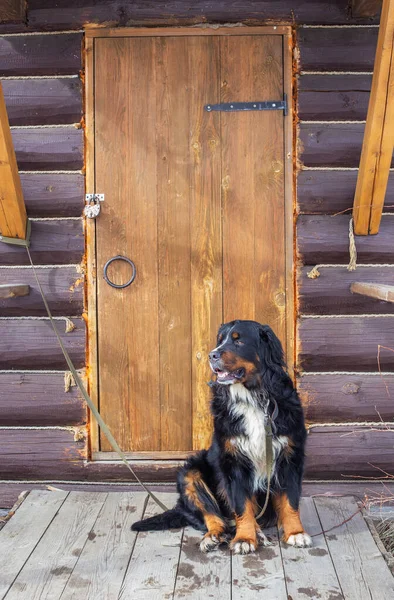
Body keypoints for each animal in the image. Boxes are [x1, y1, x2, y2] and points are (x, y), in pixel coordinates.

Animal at [132, 318, 310, 552]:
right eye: (220, 340)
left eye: (238, 340)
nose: (212, 355)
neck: (253, 398)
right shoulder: (233, 461)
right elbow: (242, 504)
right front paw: (245, 538)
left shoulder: (290, 456)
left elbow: (290, 501)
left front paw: (296, 533)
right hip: (190, 474)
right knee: (213, 516)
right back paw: (214, 536)